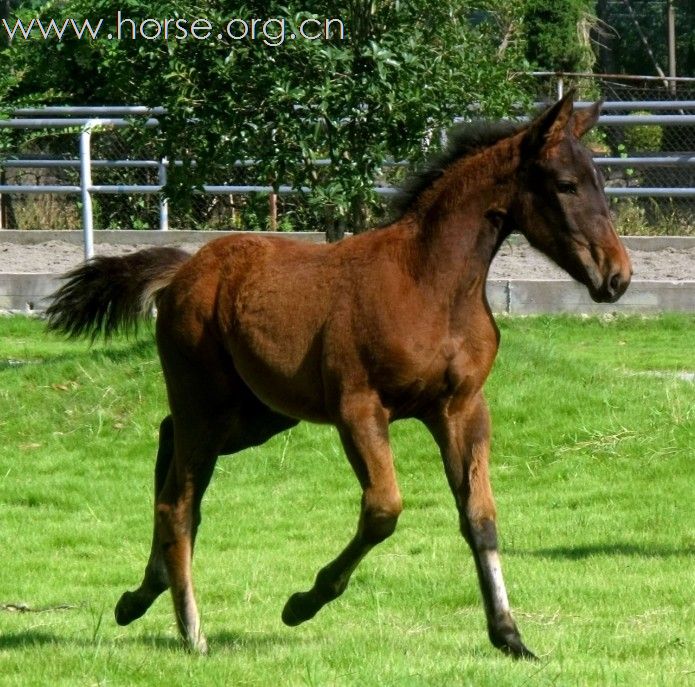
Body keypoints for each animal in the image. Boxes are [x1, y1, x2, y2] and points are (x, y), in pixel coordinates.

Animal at [47, 94, 636, 660]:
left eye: (600, 181)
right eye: (566, 184)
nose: (618, 276)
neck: (431, 285)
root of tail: (182, 273)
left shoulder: (462, 408)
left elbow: (481, 517)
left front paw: (510, 635)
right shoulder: (359, 409)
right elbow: (383, 510)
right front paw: (302, 603)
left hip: (259, 415)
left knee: (167, 446)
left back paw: (137, 598)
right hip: (207, 406)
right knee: (178, 501)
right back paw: (192, 632)